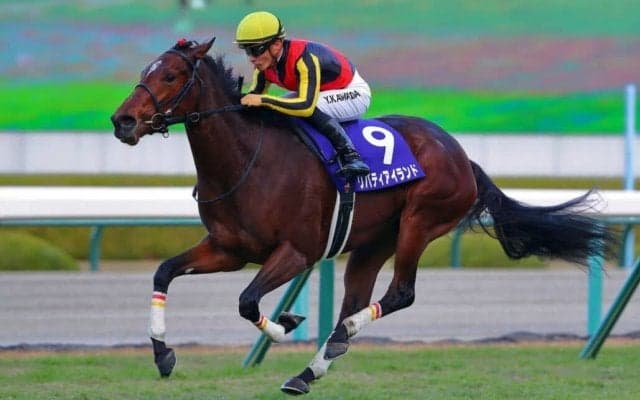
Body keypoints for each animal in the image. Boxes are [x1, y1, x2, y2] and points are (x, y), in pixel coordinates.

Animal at [111, 37, 616, 395]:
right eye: (144, 72)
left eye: (171, 75)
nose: (123, 122)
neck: (246, 160)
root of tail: (461, 154)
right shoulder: (227, 249)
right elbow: (163, 272)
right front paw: (163, 356)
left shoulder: (296, 252)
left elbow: (248, 302)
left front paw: (286, 323)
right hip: (374, 241)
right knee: (355, 299)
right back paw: (309, 371)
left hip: (420, 221)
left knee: (399, 294)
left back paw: (341, 337)